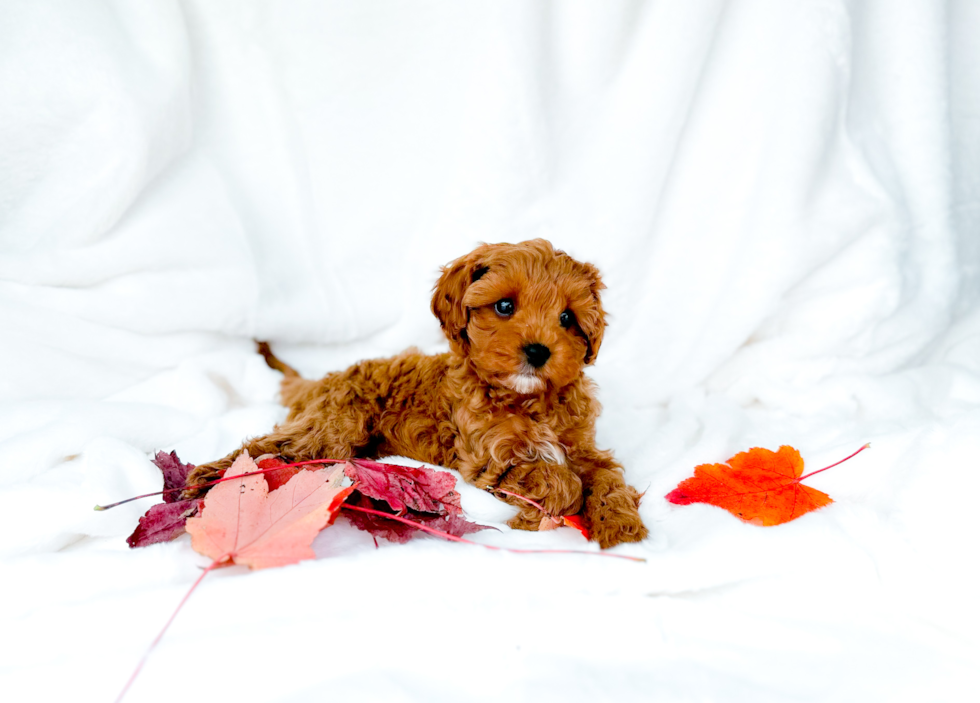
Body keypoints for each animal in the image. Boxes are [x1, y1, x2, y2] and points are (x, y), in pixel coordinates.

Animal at [189, 242, 652, 552]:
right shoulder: (489, 460)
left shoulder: (584, 448)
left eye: (567, 318)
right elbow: (560, 479)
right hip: (332, 426)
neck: (528, 399)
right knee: (270, 448)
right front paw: (533, 516)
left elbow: (607, 478)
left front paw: (621, 527)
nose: (539, 352)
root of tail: (324, 379)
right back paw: (206, 481)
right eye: (504, 306)